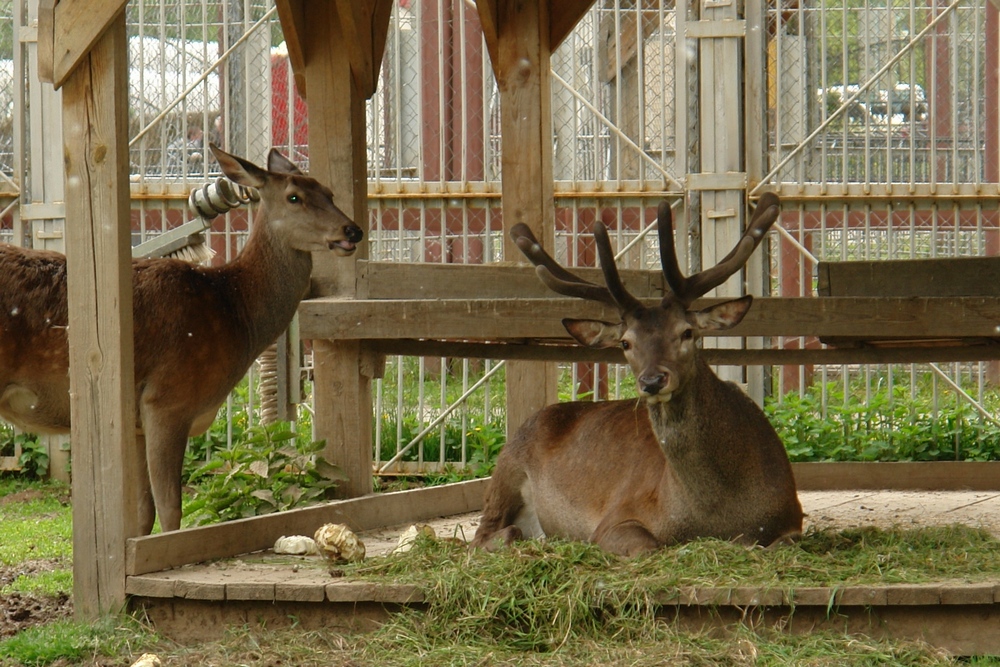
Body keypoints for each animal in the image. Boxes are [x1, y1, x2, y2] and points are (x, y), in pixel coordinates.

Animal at [0, 144, 360, 536]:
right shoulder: (167, 399)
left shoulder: (137, 420)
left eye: (329, 192)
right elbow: (171, 508)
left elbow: (143, 512)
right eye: (294, 196)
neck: (234, 312)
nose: (352, 230)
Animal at [468, 194, 804, 560]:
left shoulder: (793, 519)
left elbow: (779, 544)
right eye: (626, 342)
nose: (652, 381)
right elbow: (650, 547)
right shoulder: (616, 518)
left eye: (687, 332)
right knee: (486, 533)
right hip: (506, 469)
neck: (716, 514)